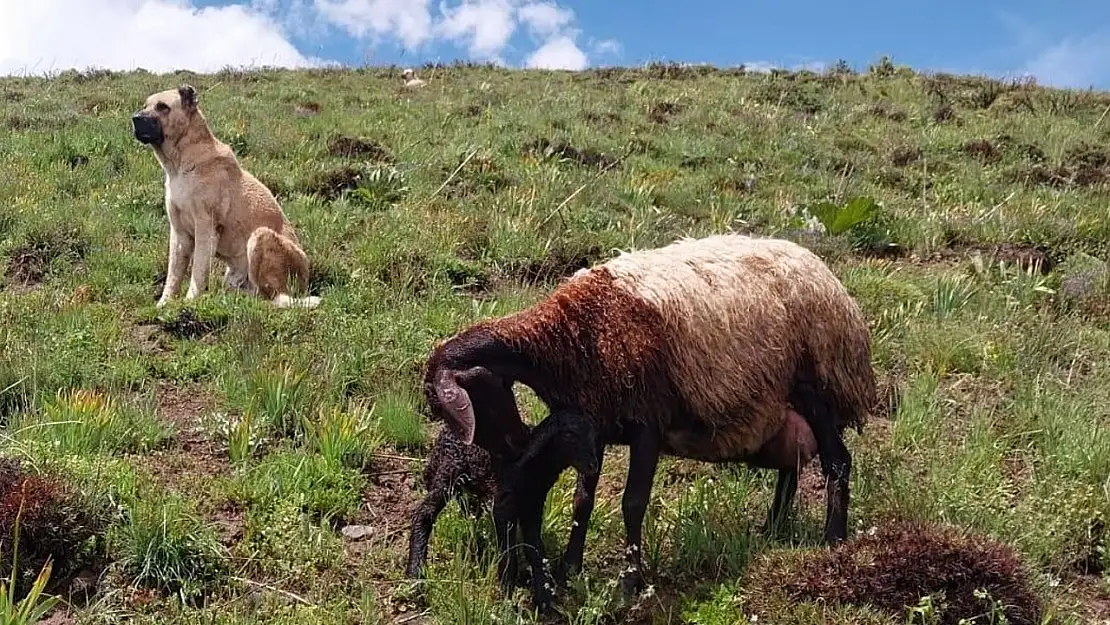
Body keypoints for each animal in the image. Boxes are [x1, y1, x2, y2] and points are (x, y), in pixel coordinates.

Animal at [132, 85, 321, 310]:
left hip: (260, 236)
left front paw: (190, 301)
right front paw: (164, 303)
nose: (135, 118)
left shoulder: (206, 228)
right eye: (145, 105)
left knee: (273, 296)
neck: (181, 163)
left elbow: (198, 271)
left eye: (163, 107)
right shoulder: (179, 234)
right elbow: (173, 274)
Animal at [421, 232, 874, 608]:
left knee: (837, 460)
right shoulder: (595, 426)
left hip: (817, 387)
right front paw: (570, 569)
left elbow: (632, 503)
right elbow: (582, 500)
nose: (515, 445)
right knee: (790, 465)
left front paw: (628, 585)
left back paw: (834, 539)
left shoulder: (647, 424)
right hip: (782, 405)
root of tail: (826, 275)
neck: (563, 339)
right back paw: (772, 530)